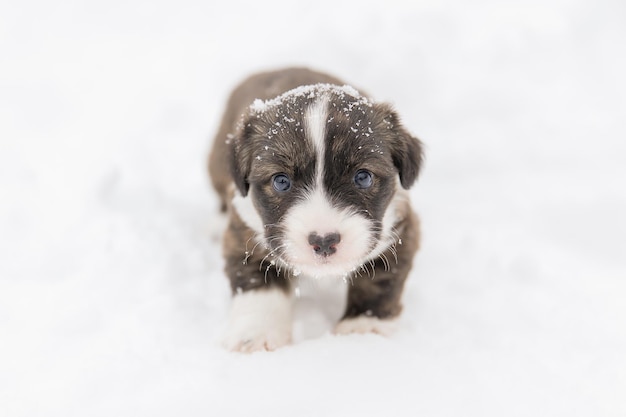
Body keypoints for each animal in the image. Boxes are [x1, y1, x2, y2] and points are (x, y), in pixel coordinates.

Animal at [207, 67, 422, 352]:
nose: (324, 242)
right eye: (281, 181)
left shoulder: (401, 227)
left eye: (363, 177)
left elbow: (380, 281)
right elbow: (258, 285)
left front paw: (363, 327)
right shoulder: (243, 232)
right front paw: (257, 334)